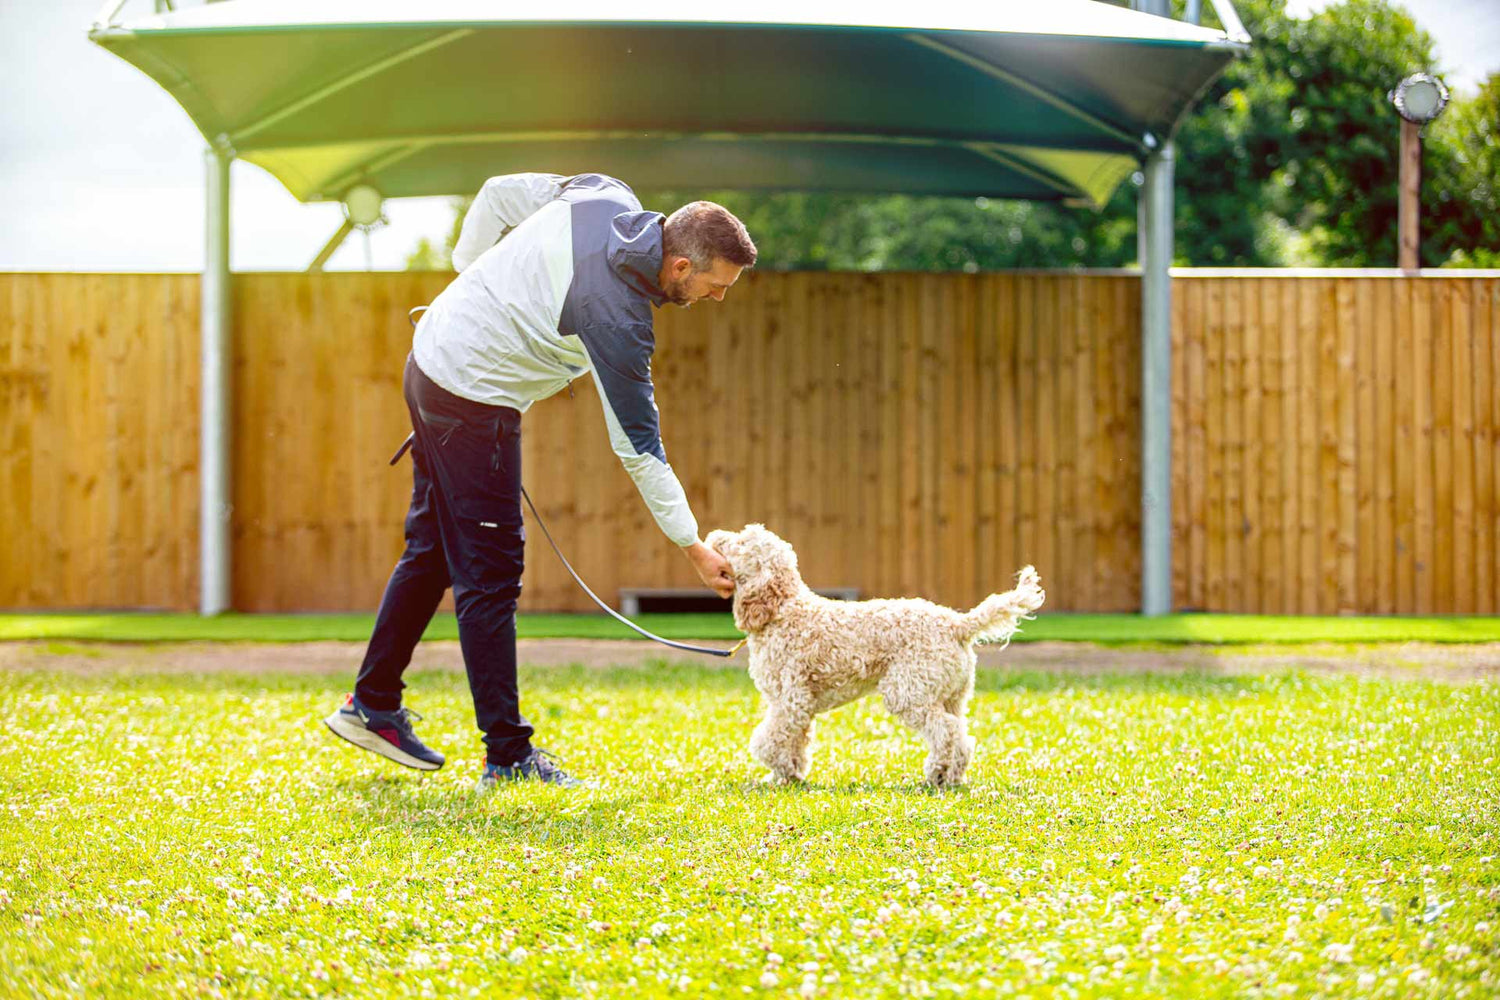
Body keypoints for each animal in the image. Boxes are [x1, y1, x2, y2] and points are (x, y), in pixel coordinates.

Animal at [705, 524, 1044, 791]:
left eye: (741, 541)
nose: (714, 534)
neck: (783, 610)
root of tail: (957, 624)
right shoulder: (799, 707)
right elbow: (796, 743)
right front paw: (788, 775)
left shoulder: (790, 700)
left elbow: (769, 739)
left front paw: (778, 770)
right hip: (952, 696)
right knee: (962, 735)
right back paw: (950, 776)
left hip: (908, 692)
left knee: (945, 731)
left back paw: (935, 772)